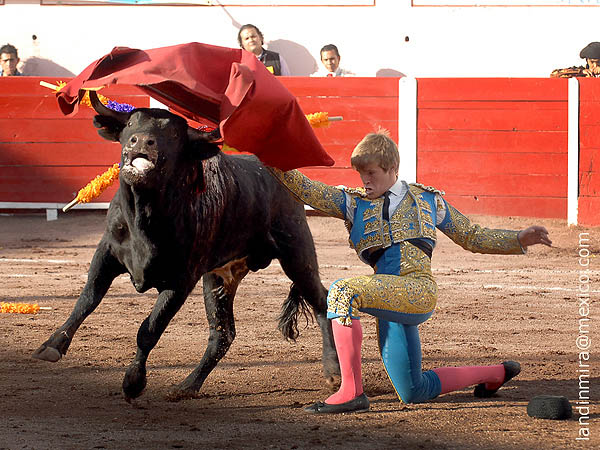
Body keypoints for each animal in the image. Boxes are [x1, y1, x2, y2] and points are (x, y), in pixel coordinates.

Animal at [34, 93, 338, 402]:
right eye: (130, 123)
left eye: (173, 133)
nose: (141, 142)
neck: (145, 216)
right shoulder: (106, 253)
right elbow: (87, 299)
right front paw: (52, 345)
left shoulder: (181, 280)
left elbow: (149, 329)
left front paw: (133, 382)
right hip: (220, 276)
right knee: (223, 334)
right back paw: (187, 386)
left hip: (296, 253)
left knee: (321, 302)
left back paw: (333, 371)